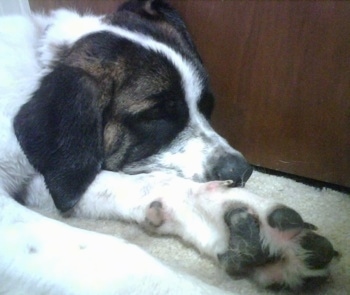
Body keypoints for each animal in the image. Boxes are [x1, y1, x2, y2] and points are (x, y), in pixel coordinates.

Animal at [0, 0, 340, 294]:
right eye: (156, 117)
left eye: (206, 105)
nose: (240, 171)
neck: (39, 64)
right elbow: (114, 254)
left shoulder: (46, 177)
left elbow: (145, 182)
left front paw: (241, 223)